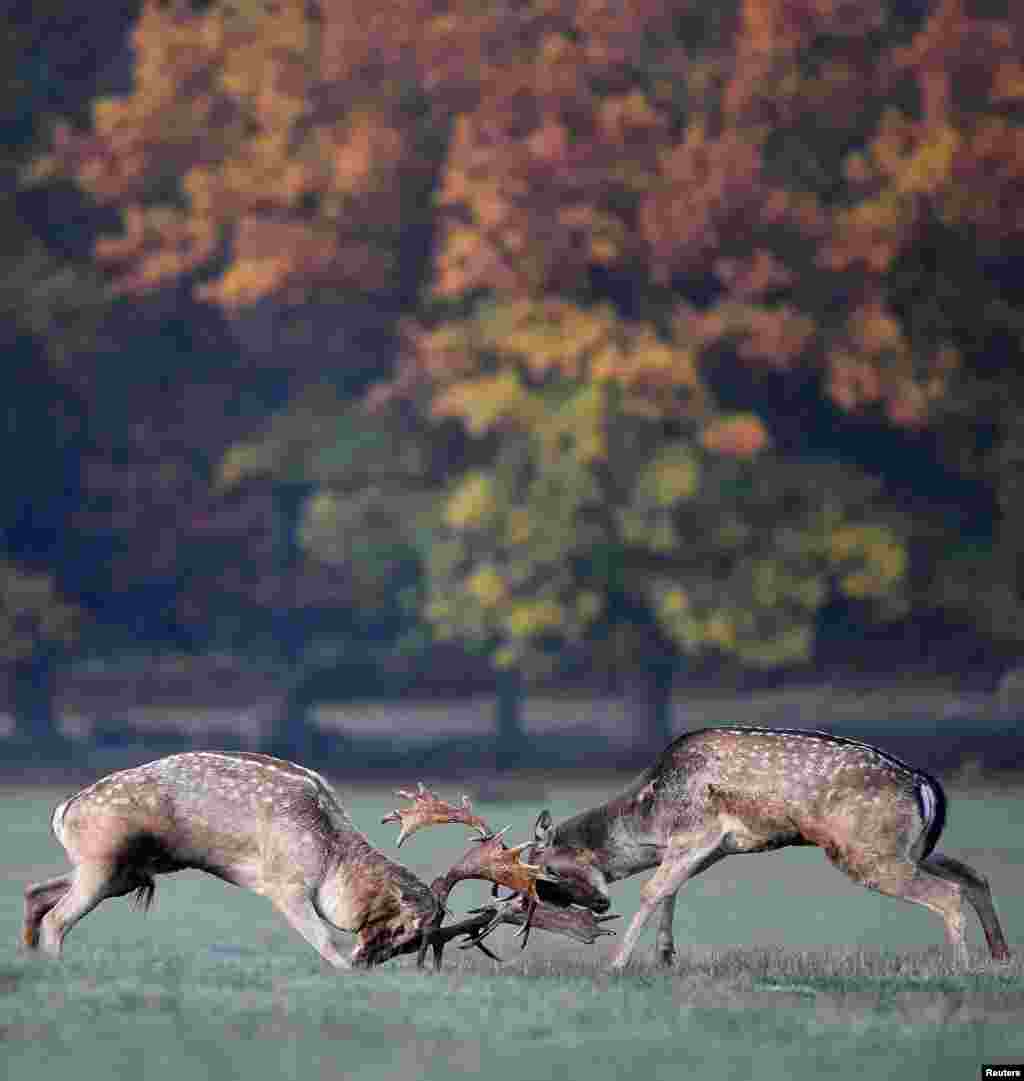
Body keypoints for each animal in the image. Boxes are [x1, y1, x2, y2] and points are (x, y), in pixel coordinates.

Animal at [22, 752, 618, 972]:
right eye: (409, 934)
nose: (369, 963)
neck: (329, 852)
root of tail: (62, 810)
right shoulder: (284, 884)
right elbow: (325, 940)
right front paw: (342, 967)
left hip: (124, 873)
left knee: (38, 893)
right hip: (104, 861)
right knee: (58, 916)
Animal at [406, 726, 1007, 972]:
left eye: (546, 875)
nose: (598, 905)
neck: (652, 813)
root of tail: (923, 783)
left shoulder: (698, 834)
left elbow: (652, 890)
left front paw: (619, 962)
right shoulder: (709, 847)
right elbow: (672, 890)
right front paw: (666, 956)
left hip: (866, 849)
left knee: (948, 893)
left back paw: (960, 969)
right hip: (908, 845)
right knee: (975, 876)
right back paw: (1000, 958)